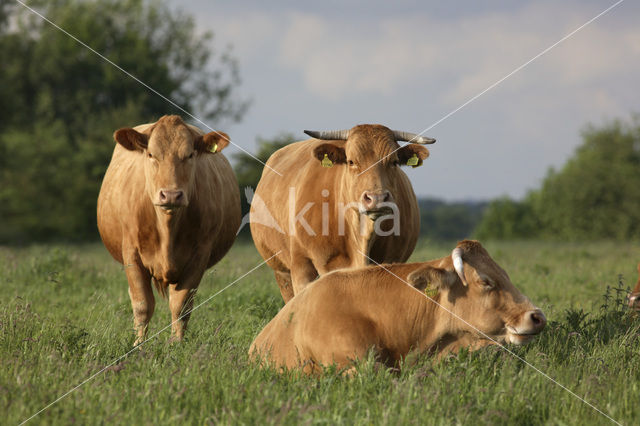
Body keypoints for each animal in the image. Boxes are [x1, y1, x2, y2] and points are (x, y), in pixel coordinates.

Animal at [97, 115, 240, 344]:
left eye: (190, 155)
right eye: (151, 154)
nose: (171, 195)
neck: (167, 228)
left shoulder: (199, 255)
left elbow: (181, 306)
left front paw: (176, 344)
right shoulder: (131, 253)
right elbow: (142, 304)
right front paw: (139, 344)